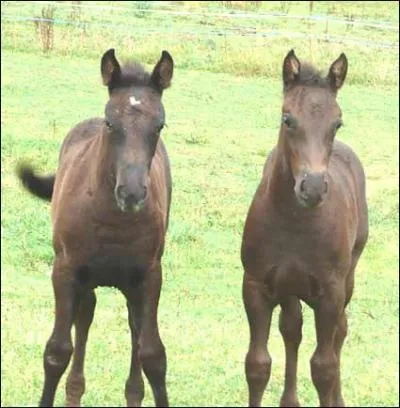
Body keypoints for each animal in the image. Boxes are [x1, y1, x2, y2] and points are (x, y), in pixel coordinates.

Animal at [17, 48, 173, 408]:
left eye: (159, 125)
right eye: (110, 123)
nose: (132, 194)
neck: (113, 220)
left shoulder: (150, 276)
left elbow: (153, 355)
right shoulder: (64, 271)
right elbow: (56, 352)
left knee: (132, 326)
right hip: (85, 279)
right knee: (84, 318)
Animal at [241, 51, 368, 408]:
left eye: (337, 123)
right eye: (287, 119)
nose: (311, 188)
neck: (294, 222)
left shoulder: (330, 293)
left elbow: (324, 367)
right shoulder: (255, 286)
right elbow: (257, 364)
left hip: (347, 279)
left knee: (340, 332)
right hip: (290, 288)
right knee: (292, 329)